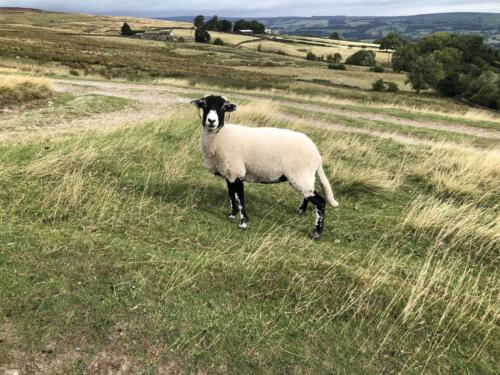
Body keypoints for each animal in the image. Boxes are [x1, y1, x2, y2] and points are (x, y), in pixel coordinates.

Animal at [192, 95, 340, 239]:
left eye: (223, 107)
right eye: (204, 104)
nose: (211, 121)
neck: (221, 136)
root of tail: (317, 154)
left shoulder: (236, 172)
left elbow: (239, 199)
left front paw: (243, 223)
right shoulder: (229, 173)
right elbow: (231, 196)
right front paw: (232, 215)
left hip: (301, 175)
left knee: (320, 202)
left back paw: (316, 233)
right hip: (304, 176)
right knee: (307, 195)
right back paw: (300, 211)